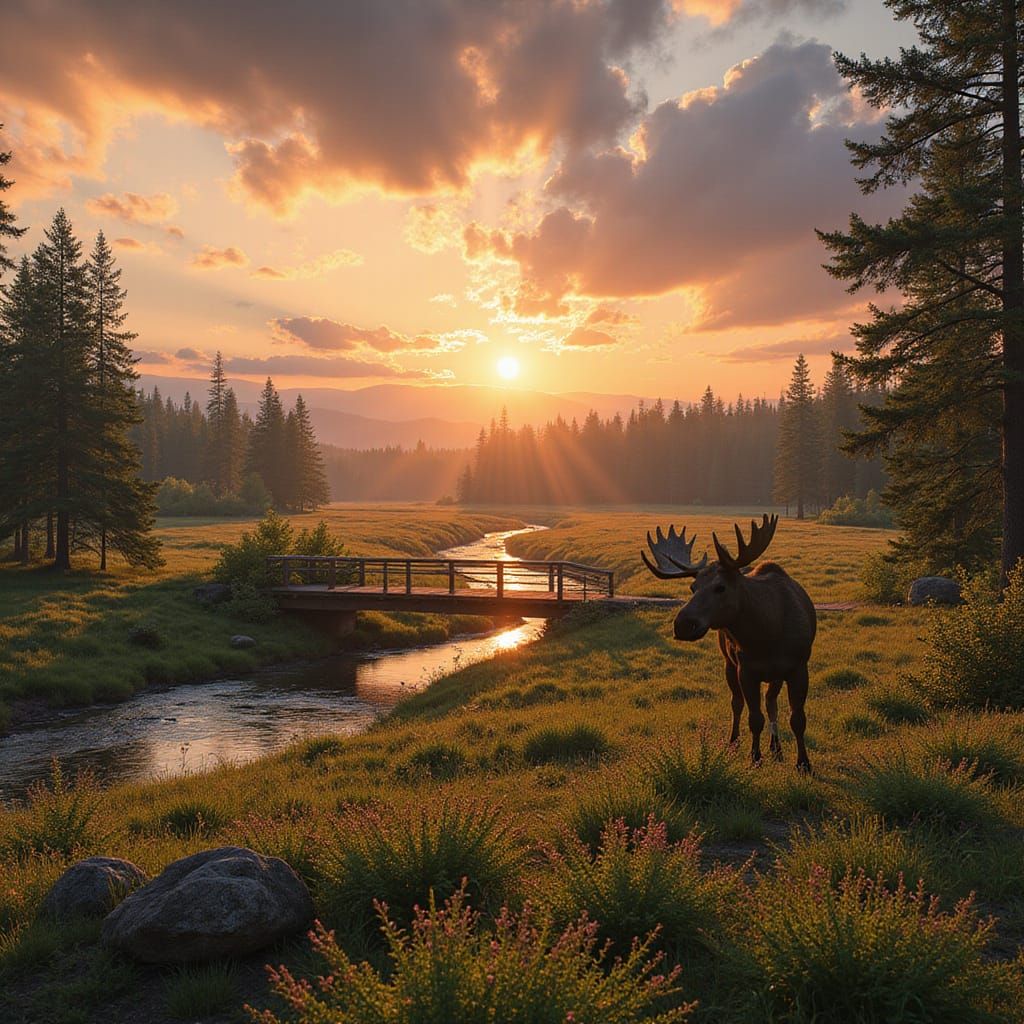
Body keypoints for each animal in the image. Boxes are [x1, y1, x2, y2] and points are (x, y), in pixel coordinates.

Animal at [641, 514, 816, 772]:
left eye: (720, 587)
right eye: (692, 587)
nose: (682, 624)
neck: (768, 635)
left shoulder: (798, 666)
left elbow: (797, 718)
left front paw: (803, 763)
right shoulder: (746, 669)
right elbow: (754, 718)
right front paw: (755, 757)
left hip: (774, 674)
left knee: (771, 702)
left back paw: (776, 747)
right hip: (729, 663)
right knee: (737, 703)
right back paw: (734, 743)